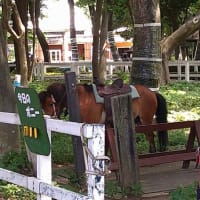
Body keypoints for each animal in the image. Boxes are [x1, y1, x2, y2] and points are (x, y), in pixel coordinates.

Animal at [38, 80, 168, 152]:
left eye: (51, 103)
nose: (48, 117)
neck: (82, 99)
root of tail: (152, 92)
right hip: (138, 121)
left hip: (146, 120)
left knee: (150, 137)